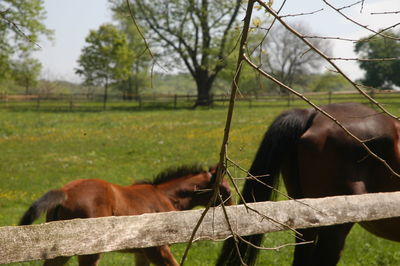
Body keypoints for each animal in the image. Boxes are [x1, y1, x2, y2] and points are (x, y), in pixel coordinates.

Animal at [20, 164, 233, 266]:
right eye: (225, 190)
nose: (233, 211)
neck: (167, 196)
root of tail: (65, 192)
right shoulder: (158, 249)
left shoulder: (142, 253)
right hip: (90, 252)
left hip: (62, 251)